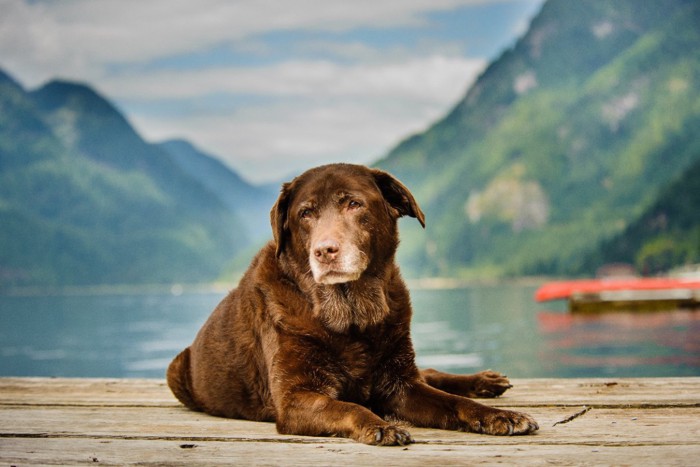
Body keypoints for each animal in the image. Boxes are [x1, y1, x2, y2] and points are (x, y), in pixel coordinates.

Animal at [167, 165, 540, 446]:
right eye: (305, 213)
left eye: (354, 204)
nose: (324, 250)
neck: (351, 314)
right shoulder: (296, 399)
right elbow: (350, 408)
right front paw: (380, 425)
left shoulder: (401, 385)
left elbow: (453, 403)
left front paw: (496, 416)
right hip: (175, 370)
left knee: (428, 373)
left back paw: (485, 382)